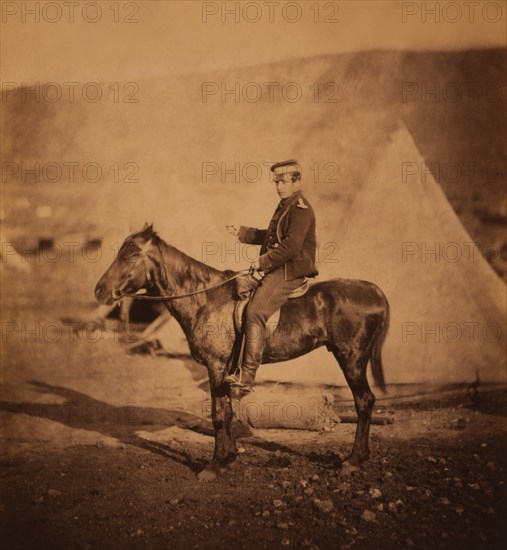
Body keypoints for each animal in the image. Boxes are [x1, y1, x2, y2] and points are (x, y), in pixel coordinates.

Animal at [93, 224, 390, 484]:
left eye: (130, 254)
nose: (99, 290)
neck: (206, 301)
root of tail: (375, 291)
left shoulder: (215, 367)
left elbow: (218, 416)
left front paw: (213, 465)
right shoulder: (224, 371)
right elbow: (227, 412)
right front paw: (228, 457)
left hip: (351, 359)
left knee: (364, 401)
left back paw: (353, 460)